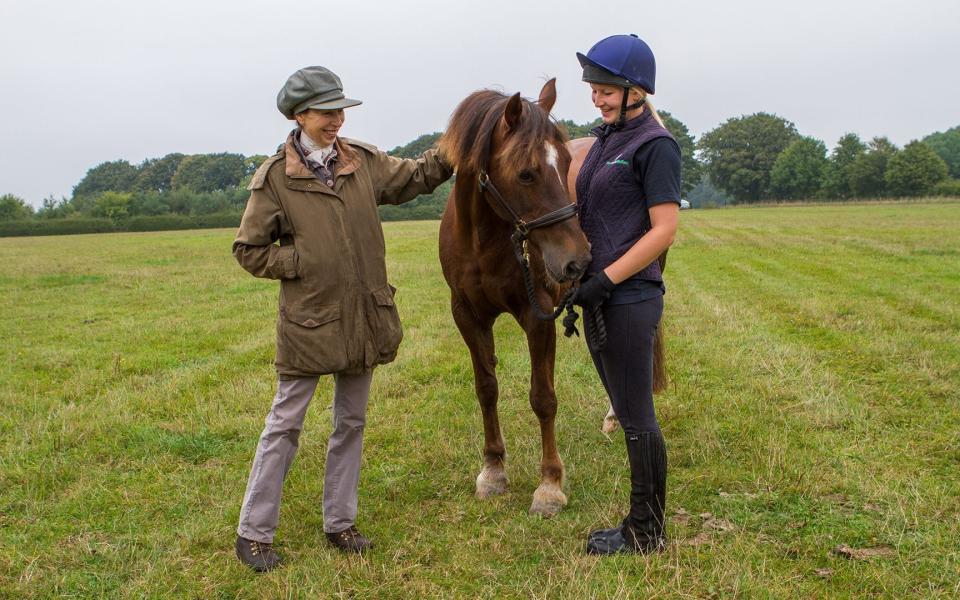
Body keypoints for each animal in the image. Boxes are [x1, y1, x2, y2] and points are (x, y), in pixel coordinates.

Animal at [440, 79, 592, 516]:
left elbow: (543, 398)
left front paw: (550, 485)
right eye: (526, 174)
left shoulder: (536, 314)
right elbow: (486, 388)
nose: (578, 260)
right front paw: (493, 470)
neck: (484, 240)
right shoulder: (468, 316)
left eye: (565, 163)